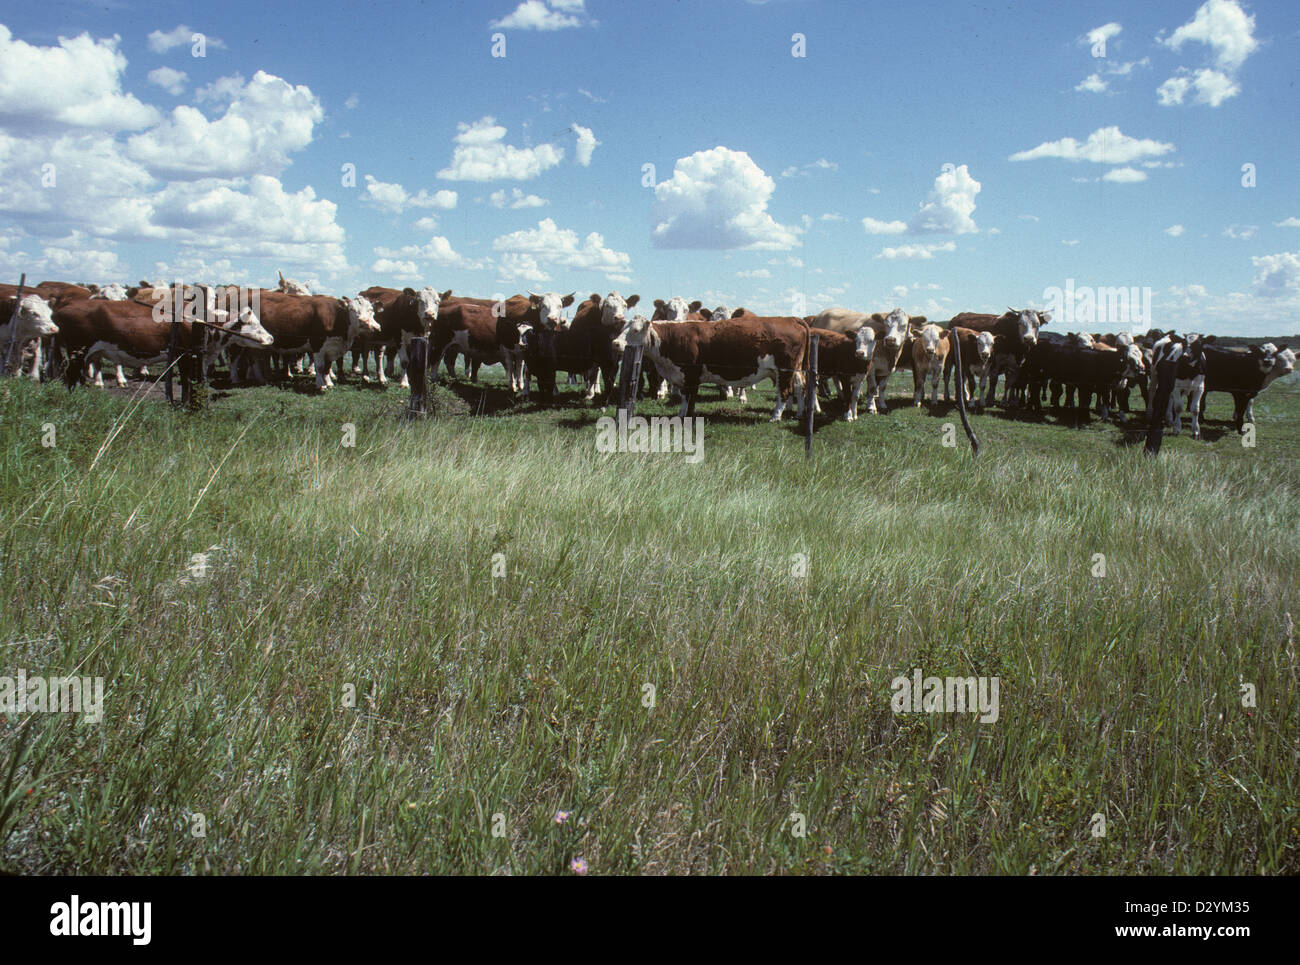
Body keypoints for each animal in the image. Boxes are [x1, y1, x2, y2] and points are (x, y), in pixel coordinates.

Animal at [612, 314, 809, 422]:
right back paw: (798, 414)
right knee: (800, 387)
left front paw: (685, 415)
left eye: (635, 330)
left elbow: (688, 396)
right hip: (794, 370)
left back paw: (775, 416)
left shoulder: (690, 373)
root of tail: (791, 319)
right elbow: (686, 397)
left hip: (785, 370)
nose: (615, 343)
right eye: (622, 328)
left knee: (784, 391)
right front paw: (684, 414)